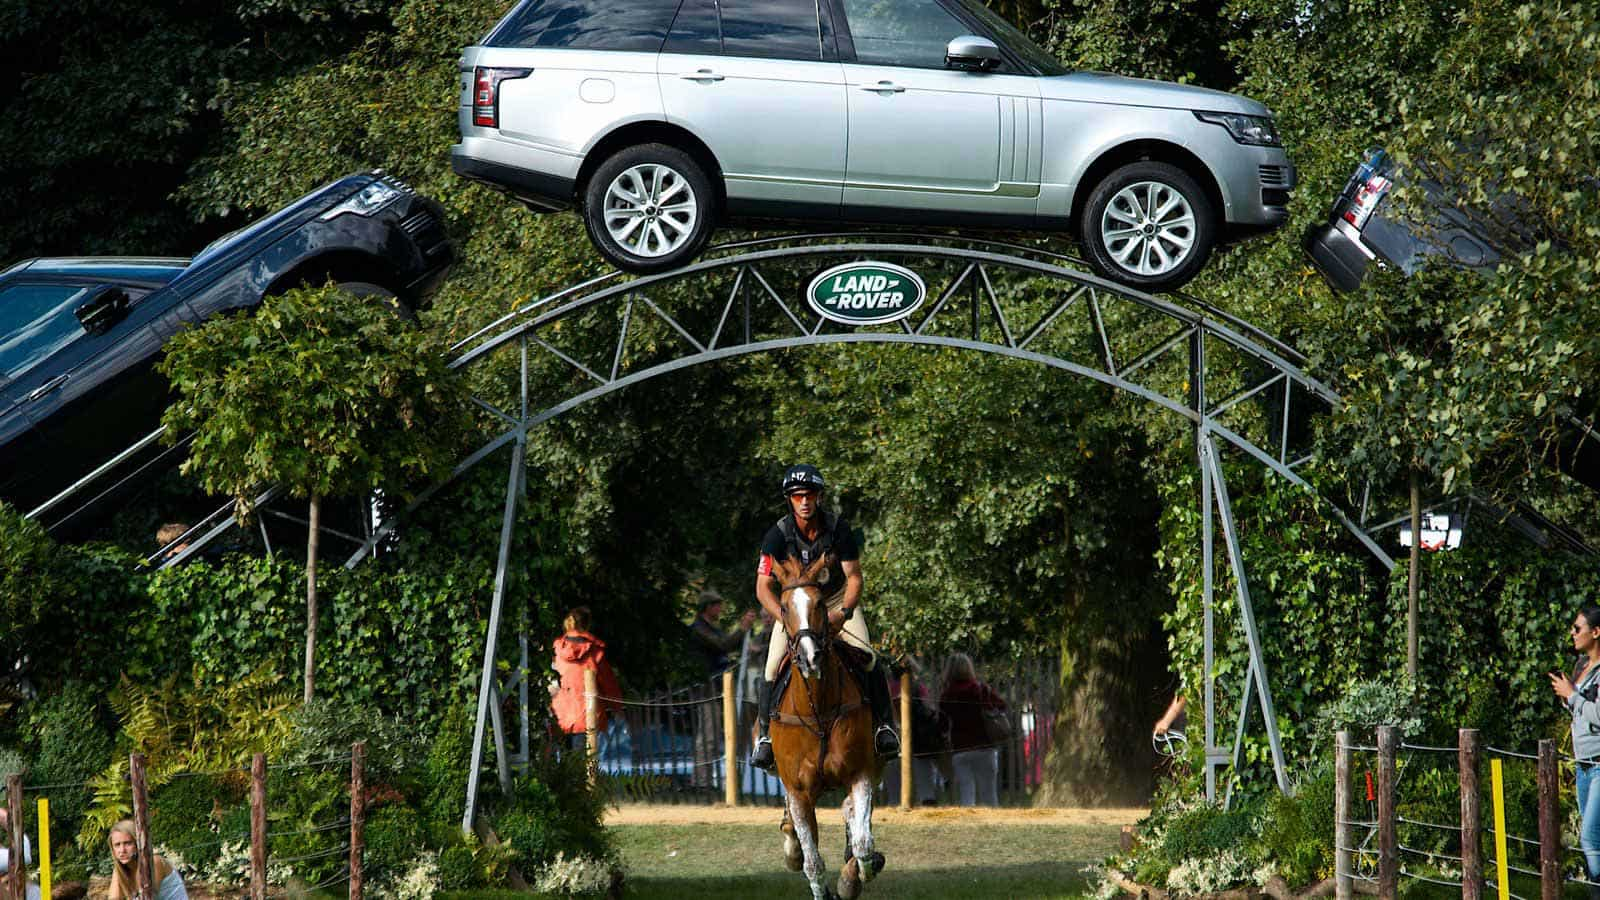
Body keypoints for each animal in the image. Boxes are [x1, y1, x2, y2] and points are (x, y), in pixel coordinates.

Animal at [764, 554, 883, 896]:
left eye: (819, 603)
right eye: (784, 606)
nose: (810, 658)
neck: (819, 710)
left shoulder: (861, 773)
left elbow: (864, 844)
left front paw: (853, 877)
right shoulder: (799, 790)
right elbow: (812, 863)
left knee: (852, 814)